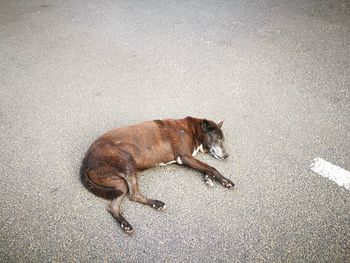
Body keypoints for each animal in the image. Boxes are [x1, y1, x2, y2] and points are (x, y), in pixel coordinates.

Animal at [80, 116, 234, 234]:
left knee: (113, 206)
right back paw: (157, 203)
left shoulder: (189, 159)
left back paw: (125, 224)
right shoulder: (185, 157)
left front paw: (209, 179)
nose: (227, 155)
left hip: (119, 184)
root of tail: (85, 160)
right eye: (218, 140)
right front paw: (226, 181)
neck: (192, 130)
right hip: (127, 160)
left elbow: (207, 169)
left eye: (223, 140)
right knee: (134, 194)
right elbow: (211, 167)